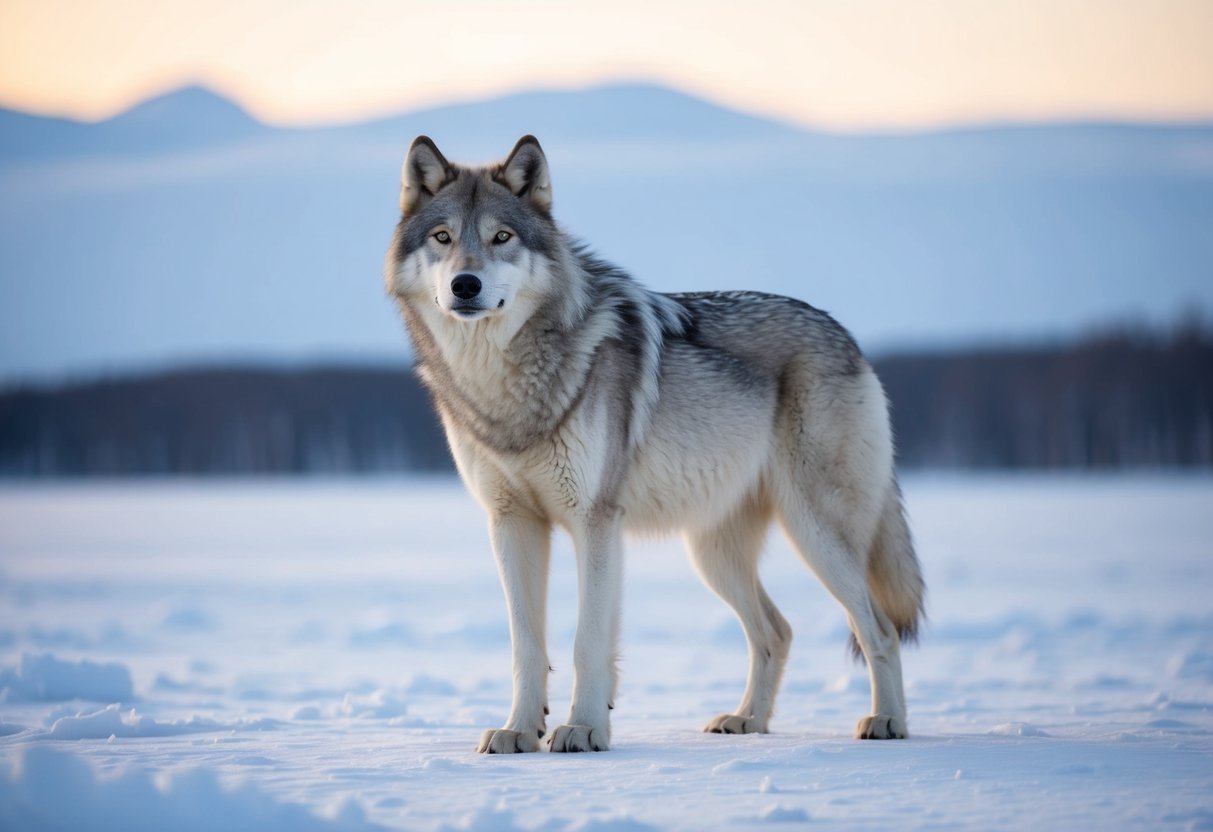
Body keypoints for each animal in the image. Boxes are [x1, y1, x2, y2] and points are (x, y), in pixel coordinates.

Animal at [384, 135, 925, 753]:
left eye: (502, 238)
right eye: (443, 238)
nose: (465, 285)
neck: (503, 385)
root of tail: (846, 335)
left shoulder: (595, 522)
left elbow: (586, 642)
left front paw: (583, 729)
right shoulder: (510, 523)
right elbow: (526, 647)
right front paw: (518, 731)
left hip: (816, 534)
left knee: (878, 628)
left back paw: (888, 722)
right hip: (712, 552)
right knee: (777, 631)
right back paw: (748, 720)